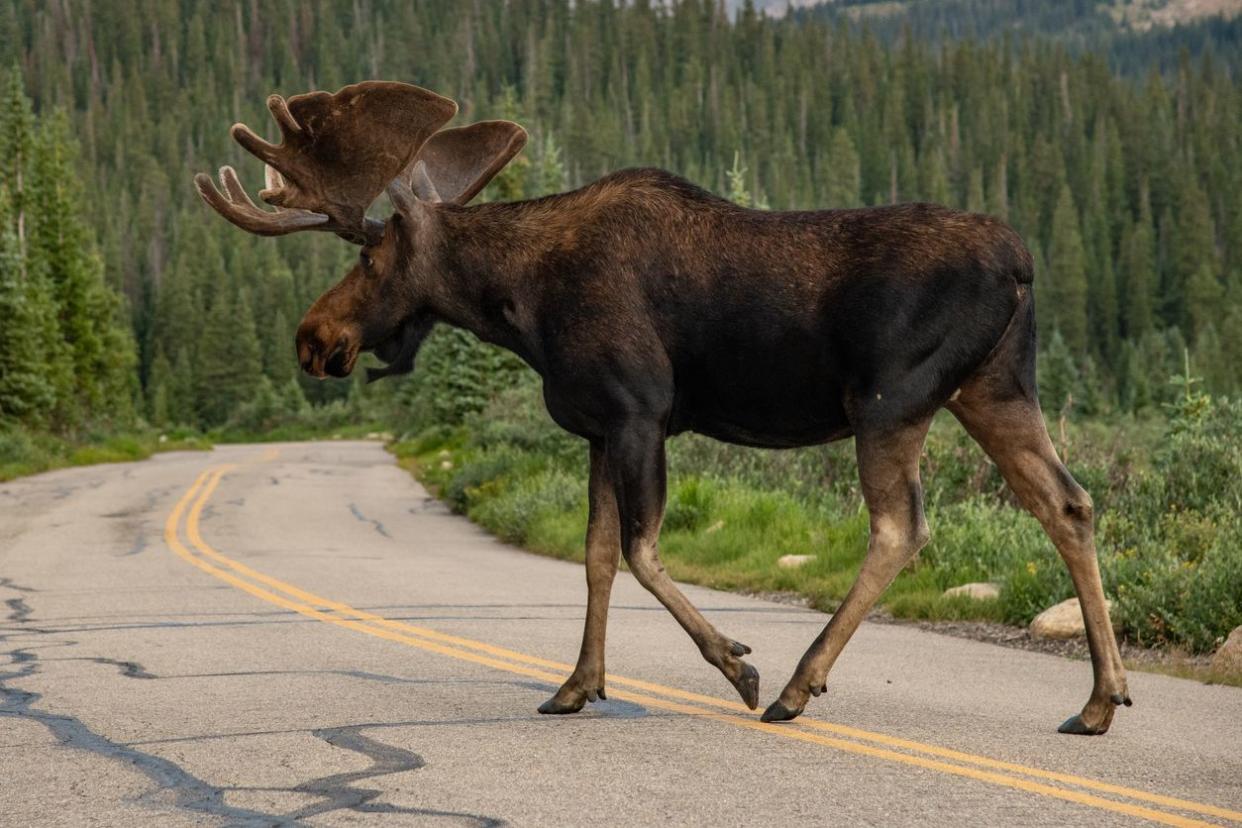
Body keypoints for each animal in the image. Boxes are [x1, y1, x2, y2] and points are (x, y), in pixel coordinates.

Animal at [196, 80, 1137, 734]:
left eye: (366, 256)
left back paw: (795, 685)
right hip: (996, 390)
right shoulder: (594, 428)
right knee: (1069, 503)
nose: (311, 337)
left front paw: (735, 665)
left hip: (890, 400)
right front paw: (577, 685)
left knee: (901, 528)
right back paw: (1100, 699)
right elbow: (596, 557)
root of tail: (1021, 264)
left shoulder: (640, 410)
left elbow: (642, 552)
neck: (520, 304)